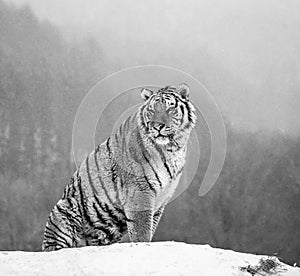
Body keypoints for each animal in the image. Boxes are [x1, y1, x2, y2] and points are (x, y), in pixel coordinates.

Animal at [42, 83, 197, 251]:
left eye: (170, 108)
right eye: (152, 110)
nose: (157, 126)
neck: (171, 150)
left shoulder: (161, 198)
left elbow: (150, 227)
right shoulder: (140, 191)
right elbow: (142, 231)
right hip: (65, 207)